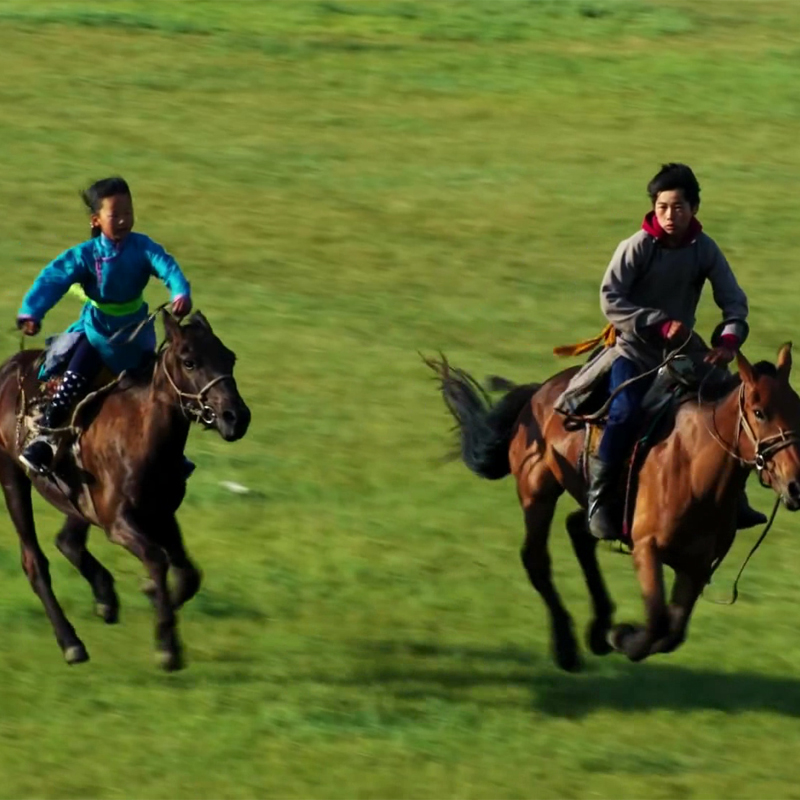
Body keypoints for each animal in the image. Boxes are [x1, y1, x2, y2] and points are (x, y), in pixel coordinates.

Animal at [0, 310, 250, 668]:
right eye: (189, 362)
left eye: (229, 357)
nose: (236, 417)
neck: (140, 435)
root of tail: (9, 367)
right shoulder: (119, 523)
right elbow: (157, 559)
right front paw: (167, 645)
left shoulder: (161, 514)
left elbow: (188, 574)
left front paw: (155, 601)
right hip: (12, 477)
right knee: (35, 562)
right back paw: (71, 642)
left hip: (80, 503)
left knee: (68, 541)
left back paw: (105, 599)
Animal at [428, 344, 800, 668]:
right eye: (759, 412)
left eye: (796, 407)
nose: (795, 485)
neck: (695, 469)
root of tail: (539, 391)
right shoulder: (647, 548)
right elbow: (657, 621)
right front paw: (622, 636)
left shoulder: (697, 564)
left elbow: (672, 632)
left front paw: (613, 634)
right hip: (537, 492)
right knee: (537, 559)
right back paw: (567, 647)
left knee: (579, 530)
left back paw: (596, 629)